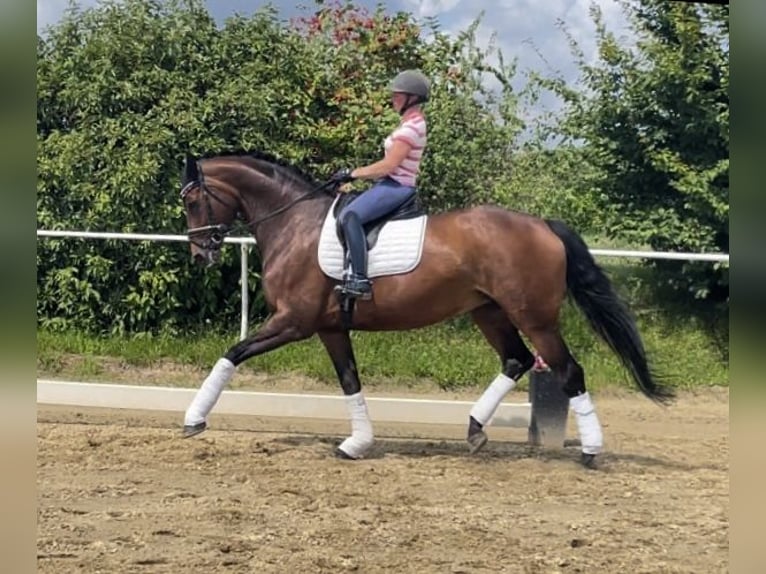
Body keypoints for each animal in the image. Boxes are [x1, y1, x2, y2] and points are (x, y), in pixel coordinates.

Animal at [178, 151, 672, 470]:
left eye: (190, 200)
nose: (200, 254)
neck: (294, 224)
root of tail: (543, 225)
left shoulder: (294, 322)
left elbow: (232, 354)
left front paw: (193, 419)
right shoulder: (329, 327)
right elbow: (350, 381)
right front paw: (357, 443)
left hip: (534, 317)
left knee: (567, 370)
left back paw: (590, 453)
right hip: (489, 311)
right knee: (516, 360)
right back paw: (474, 429)